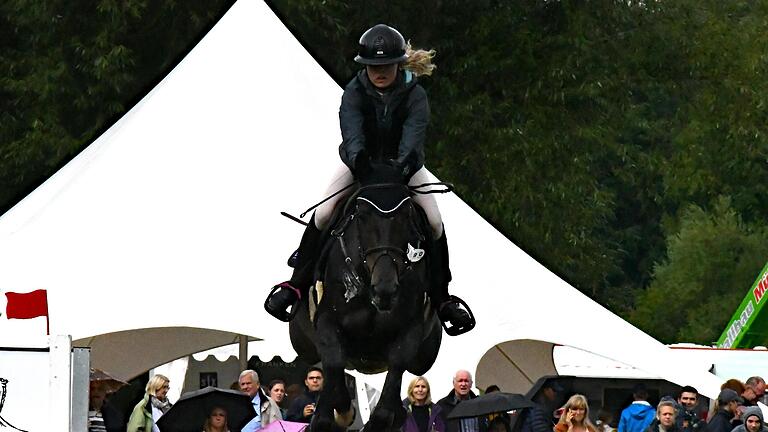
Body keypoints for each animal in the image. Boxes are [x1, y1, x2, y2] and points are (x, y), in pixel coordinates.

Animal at [288, 166, 444, 432]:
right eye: (362, 216)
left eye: (407, 217)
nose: (385, 289)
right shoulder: (327, 322)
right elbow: (334, 370)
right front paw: (338, 414)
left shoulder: (410, 331)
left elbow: (388, 399)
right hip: (304, 342)